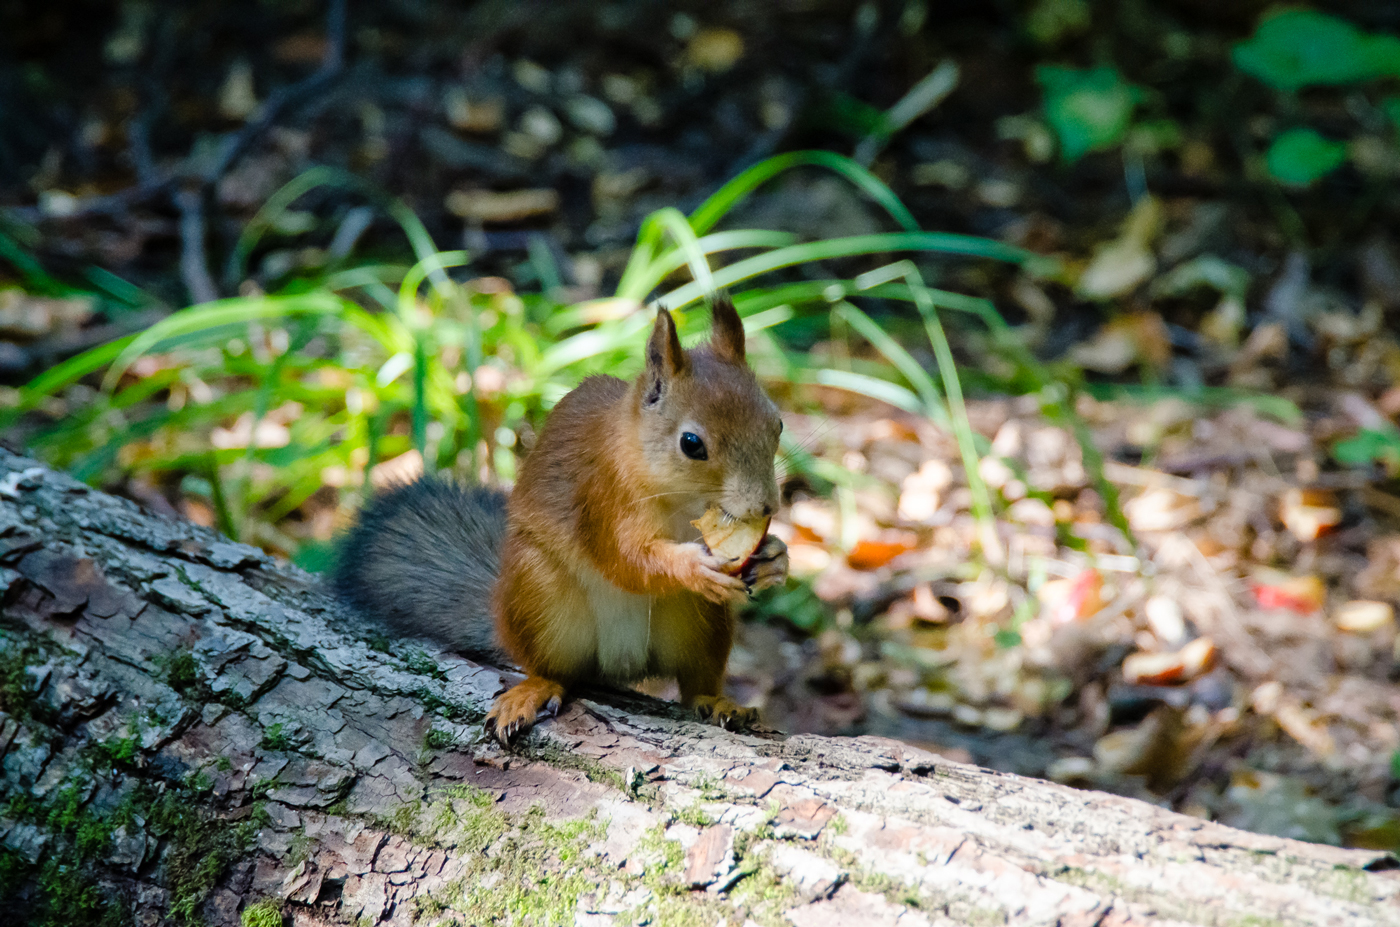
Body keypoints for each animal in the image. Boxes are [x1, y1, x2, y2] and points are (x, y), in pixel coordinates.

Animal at [327, 298, 789, 750]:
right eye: (691, 444)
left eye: (778, 422)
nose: (766, 505)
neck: (678, 499)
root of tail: (620, 664)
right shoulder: (601, 499)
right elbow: (627, 560)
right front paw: (693, 566)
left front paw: (775, 557)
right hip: (541, 595)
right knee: (554, 671)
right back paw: (534, 690)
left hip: (699, 621)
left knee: (696, 685)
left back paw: (720, 702)